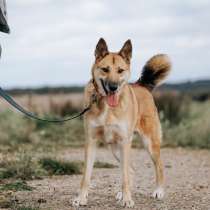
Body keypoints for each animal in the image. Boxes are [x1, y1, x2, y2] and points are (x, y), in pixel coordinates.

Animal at [72, 38, 171, 208]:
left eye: (120, 70)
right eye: (105, 69)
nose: (113, 87)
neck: (107, 106)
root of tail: (141, 85)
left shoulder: (125, 142)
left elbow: (124, 176)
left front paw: (127, 200)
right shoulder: (91, 141)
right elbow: (86, 176)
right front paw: (81, 198)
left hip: (148, 143)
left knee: (158, 166)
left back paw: (158, 191)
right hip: (115, 148)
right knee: (130, 169)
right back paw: (121, 193)